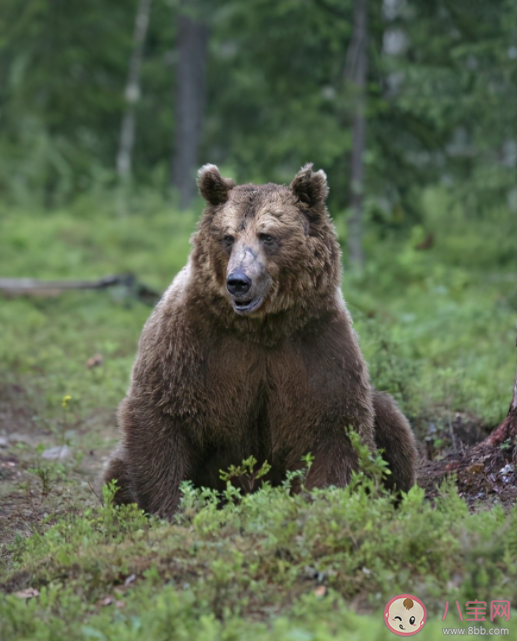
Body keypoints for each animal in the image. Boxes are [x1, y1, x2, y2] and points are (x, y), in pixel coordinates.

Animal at [104, 162, 416, 516]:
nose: (238, 281)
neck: (260, 327)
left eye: (268, 236)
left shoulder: (316, 345)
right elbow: (162, 416)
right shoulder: (190, 343)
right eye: (228, 237)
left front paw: (323, 503)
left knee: (392, 425)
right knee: (117, 471)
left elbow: (334, 427)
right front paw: (171, 508)